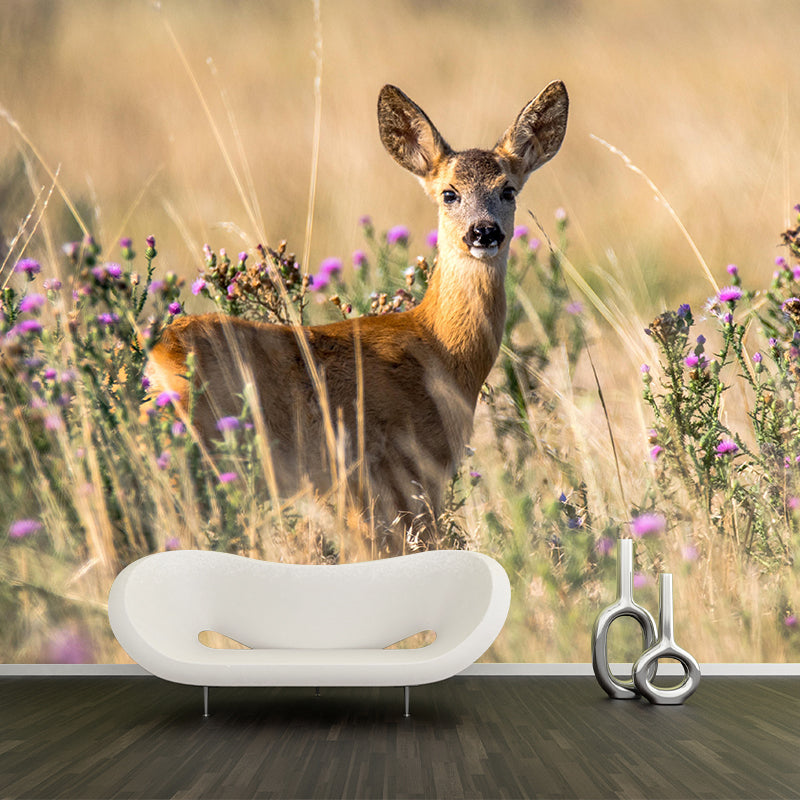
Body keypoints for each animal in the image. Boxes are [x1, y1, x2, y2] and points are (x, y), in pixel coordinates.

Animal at [144, 81, 569, 553]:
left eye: (508, 189)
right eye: (449, 193)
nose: (484, 232)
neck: (441, 350)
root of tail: (160, 353)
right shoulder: (398, 472)